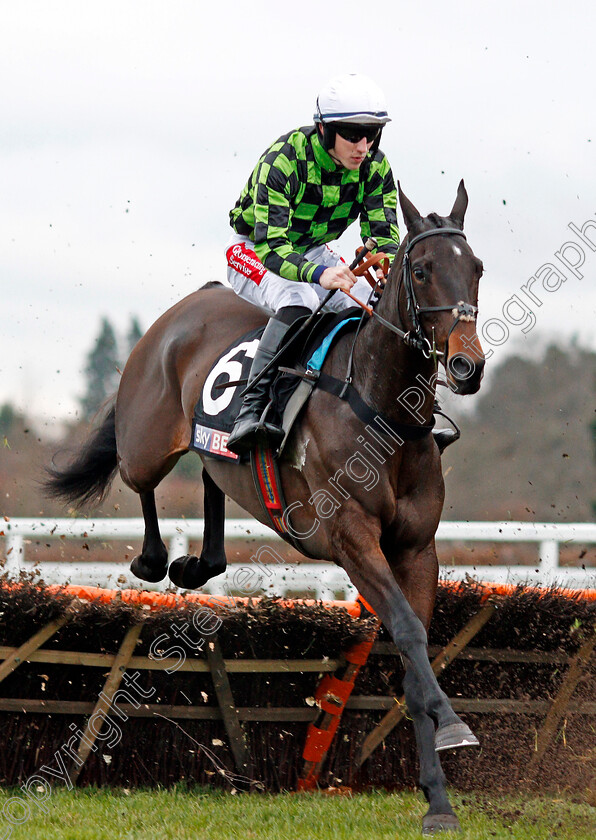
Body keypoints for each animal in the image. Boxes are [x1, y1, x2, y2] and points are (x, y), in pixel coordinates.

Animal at [46, 180, 484, 832]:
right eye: (423, 270)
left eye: (476, 268)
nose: (466, 364)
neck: (382, 409)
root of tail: (190, 304)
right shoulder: (352, 540)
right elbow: (405, 629)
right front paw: (454, 727)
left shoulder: (416, 548)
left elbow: (416, 654)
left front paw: (438, 801)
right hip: (146, 441)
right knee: (139, 476)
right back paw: (155, 559)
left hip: (216, 450)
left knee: (211, 472)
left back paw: (198, 563)